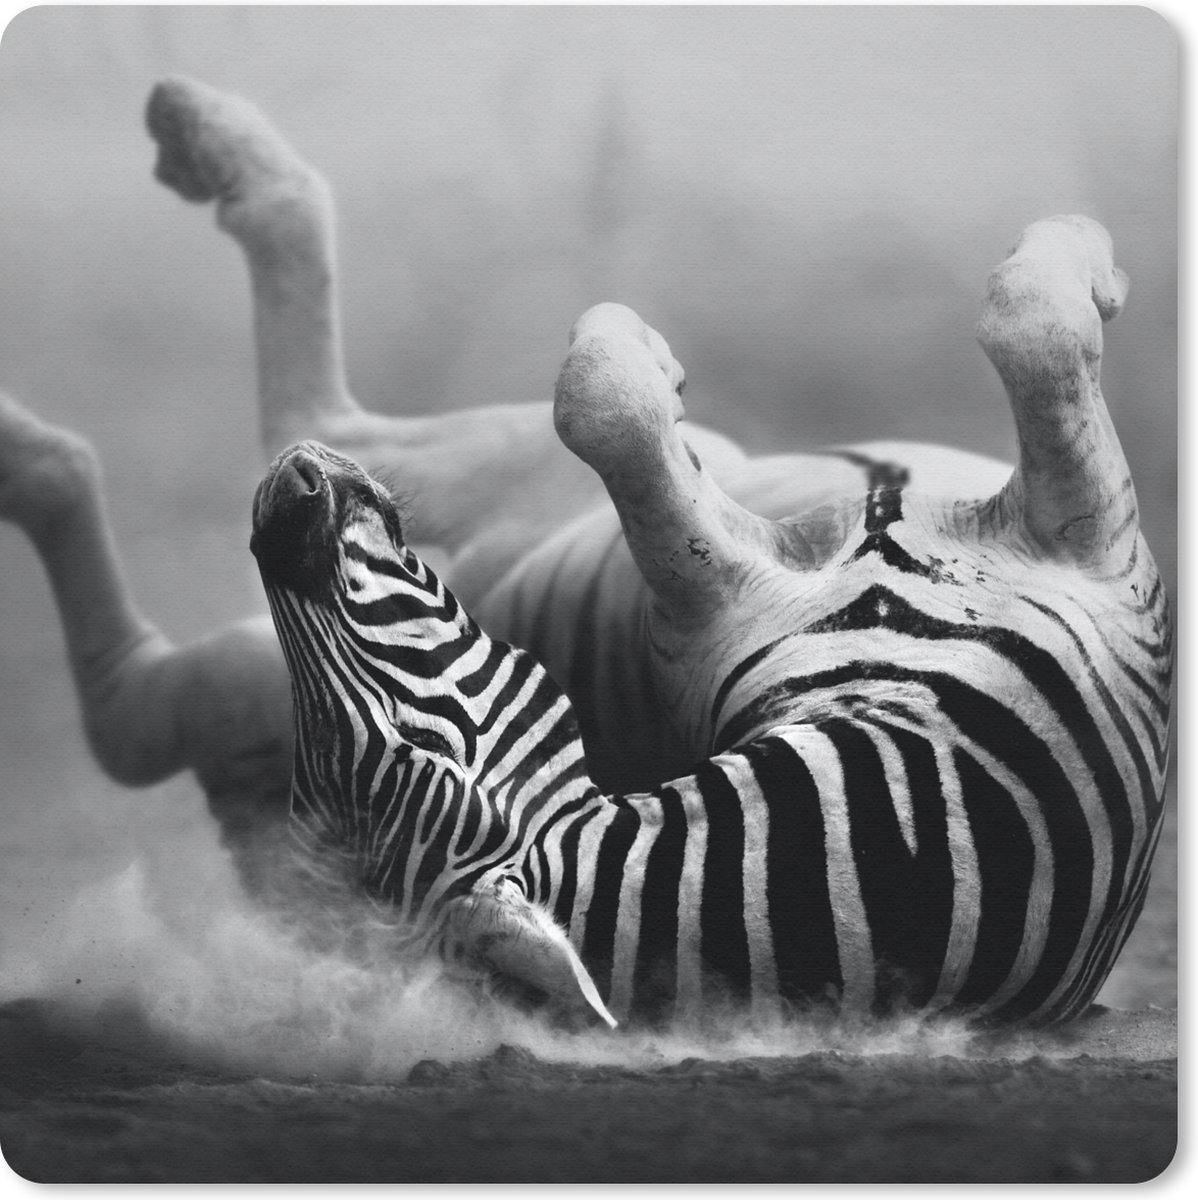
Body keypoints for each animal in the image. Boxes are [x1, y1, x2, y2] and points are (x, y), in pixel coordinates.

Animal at [0, 77, 1172, 1027]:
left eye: (411, 743)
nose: (285, 519)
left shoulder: (1093, 551)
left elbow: (1031, 330)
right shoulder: (706, 596)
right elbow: (609, 405)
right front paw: (643, 355)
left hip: (413, 522)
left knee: (214, 577)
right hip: (461, 493)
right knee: (259, 500)